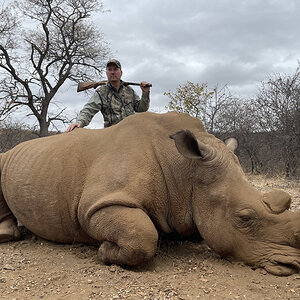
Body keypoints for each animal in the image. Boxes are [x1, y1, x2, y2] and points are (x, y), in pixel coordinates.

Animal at [0, 111, 300, 276]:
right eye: (244, 218)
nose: (293, 266)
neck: (185, 169)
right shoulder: (97, 205)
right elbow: (142, 235)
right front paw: (104, 251)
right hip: (8, 158)